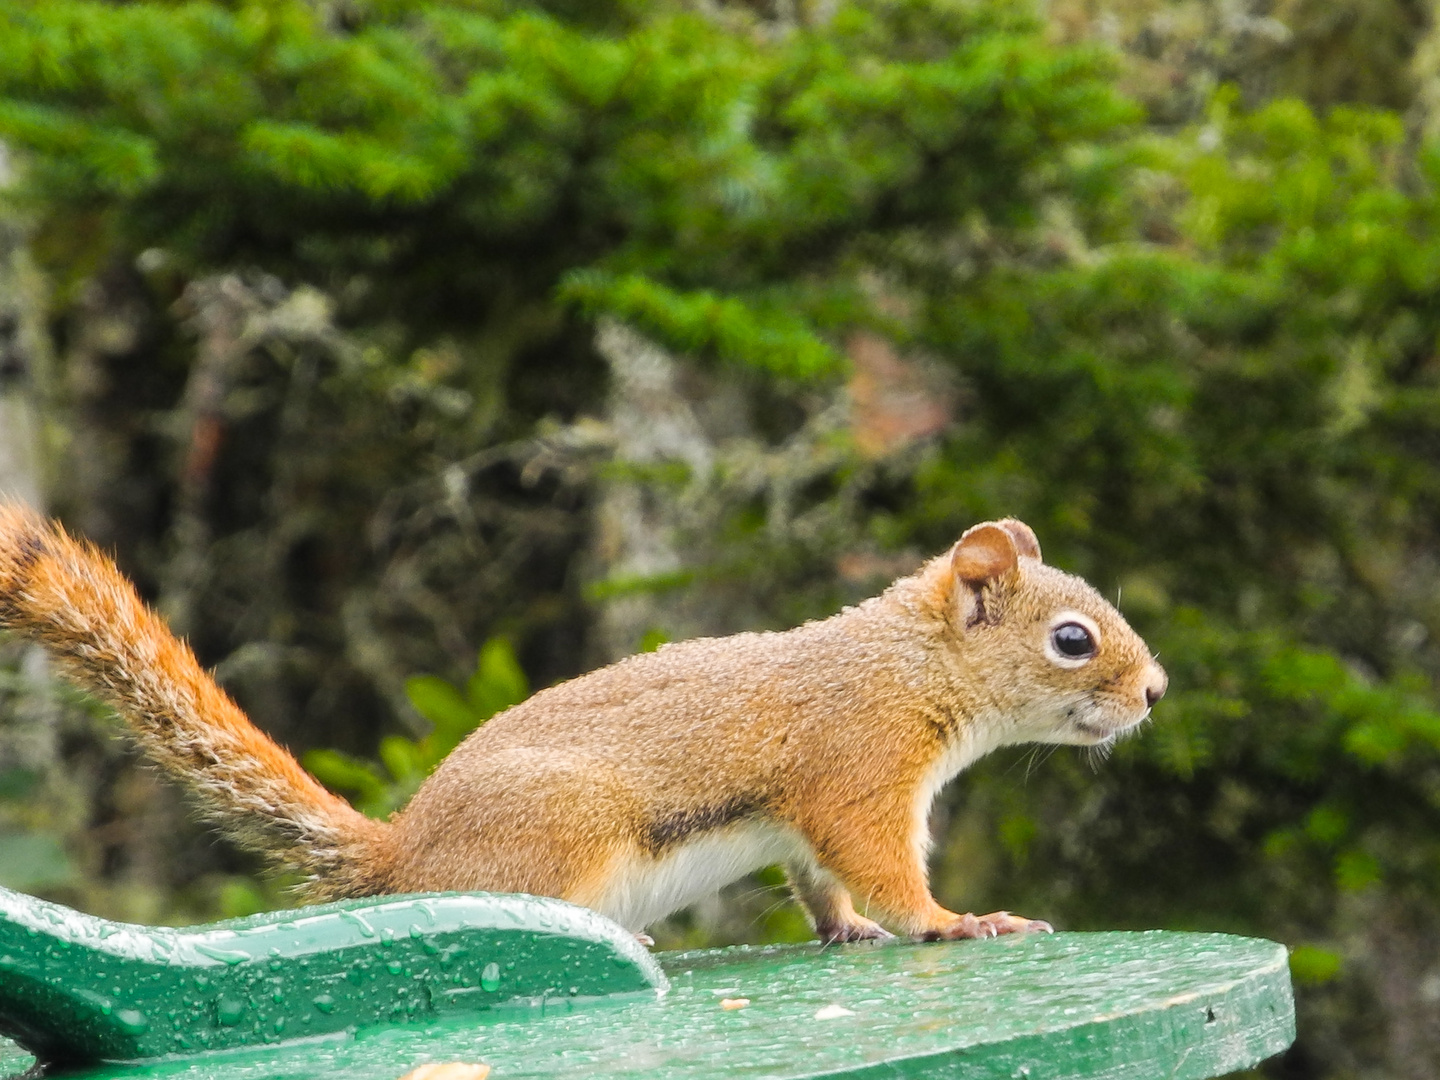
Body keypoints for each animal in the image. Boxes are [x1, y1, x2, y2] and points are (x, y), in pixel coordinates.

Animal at [0, 504, 1163, 944]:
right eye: (1072, 640)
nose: (1154, 693)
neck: (907, 665)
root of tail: (403, 858)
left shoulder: (807, 824)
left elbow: (822, 884)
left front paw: (847, 933)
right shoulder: (860, 770)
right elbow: (881, 867)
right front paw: (955, 921)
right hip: (561, 831)